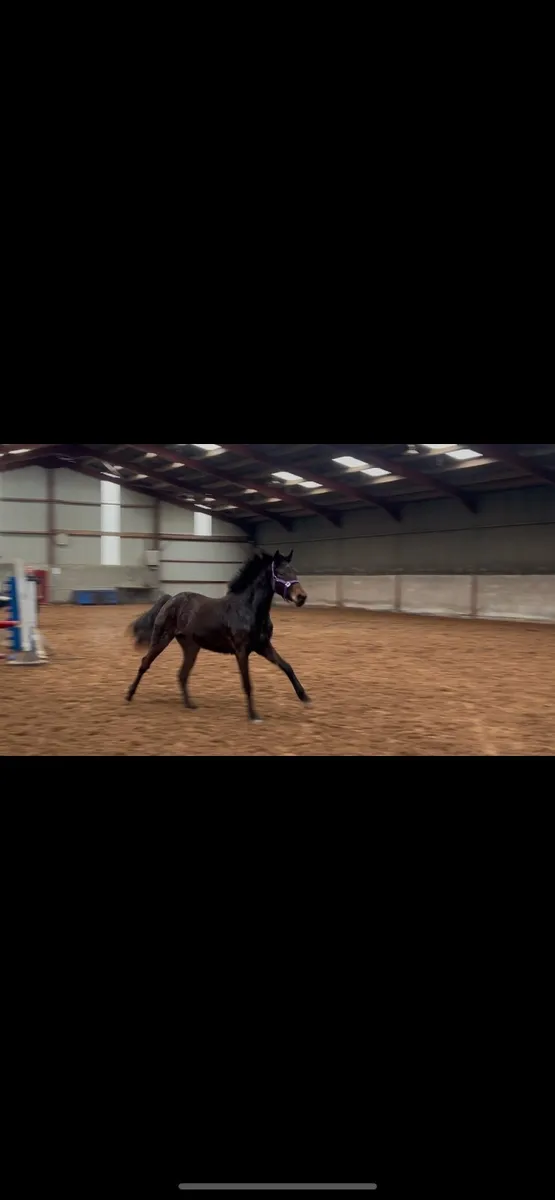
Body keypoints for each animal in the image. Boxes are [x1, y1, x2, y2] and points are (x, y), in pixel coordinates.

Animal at [125, 550, 310, 722]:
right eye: (280, 573)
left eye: (294, 571)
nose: (301, 597)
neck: (248, 610)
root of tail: (171, 599)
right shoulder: (241, 651)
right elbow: (247, 683)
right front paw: (253, 715)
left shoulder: (263, 646)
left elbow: (287, 666)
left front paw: (305, 697)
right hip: (161, 639)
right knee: (145, 663)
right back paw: (129, 695)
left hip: (191, 647)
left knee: (182, 674)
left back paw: (189, 704)